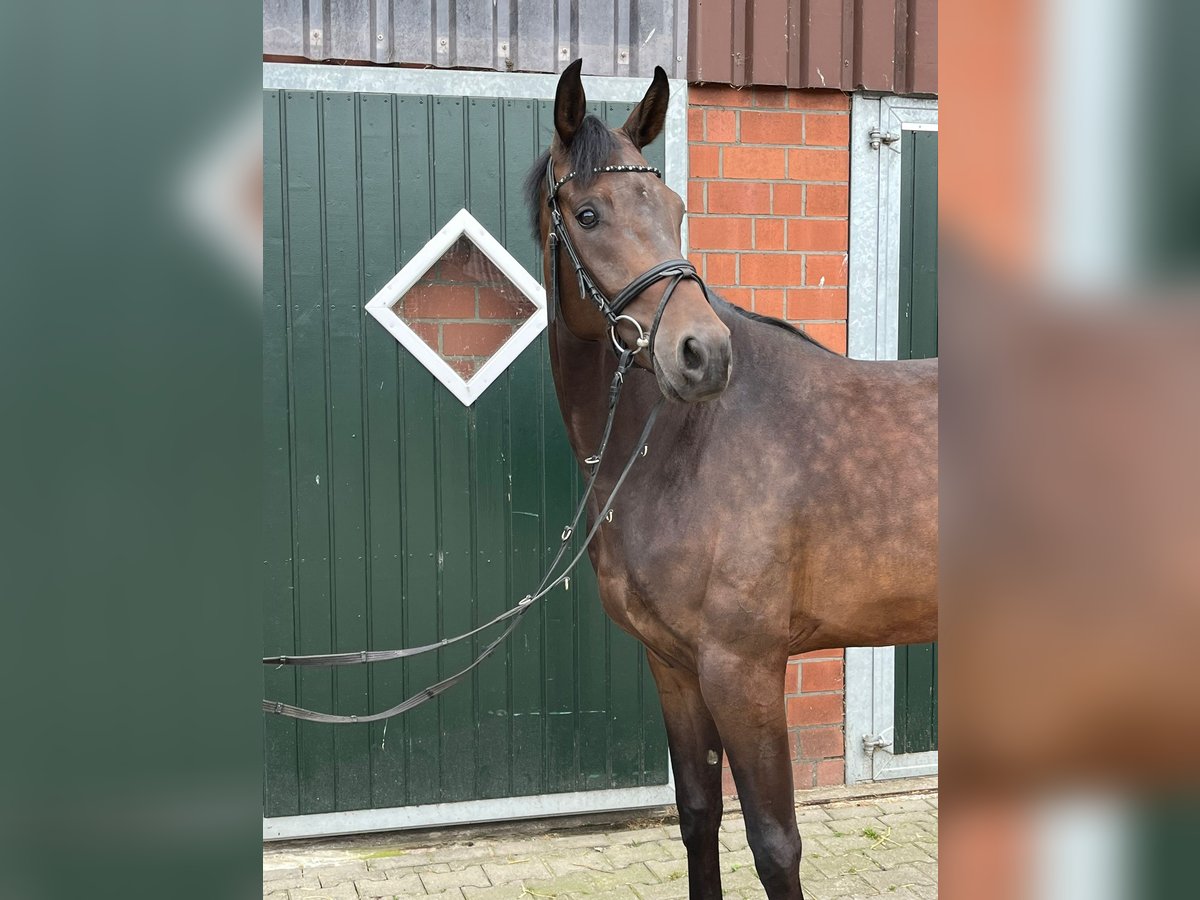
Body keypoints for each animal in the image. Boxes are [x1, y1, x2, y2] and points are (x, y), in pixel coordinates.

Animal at [525, 60, 936, 897]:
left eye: (675, 210)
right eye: (587, 213)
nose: (702, 354)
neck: (690, 449)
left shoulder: (744, 670)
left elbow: (775, 843)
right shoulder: (675, 667)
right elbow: (698, 816)